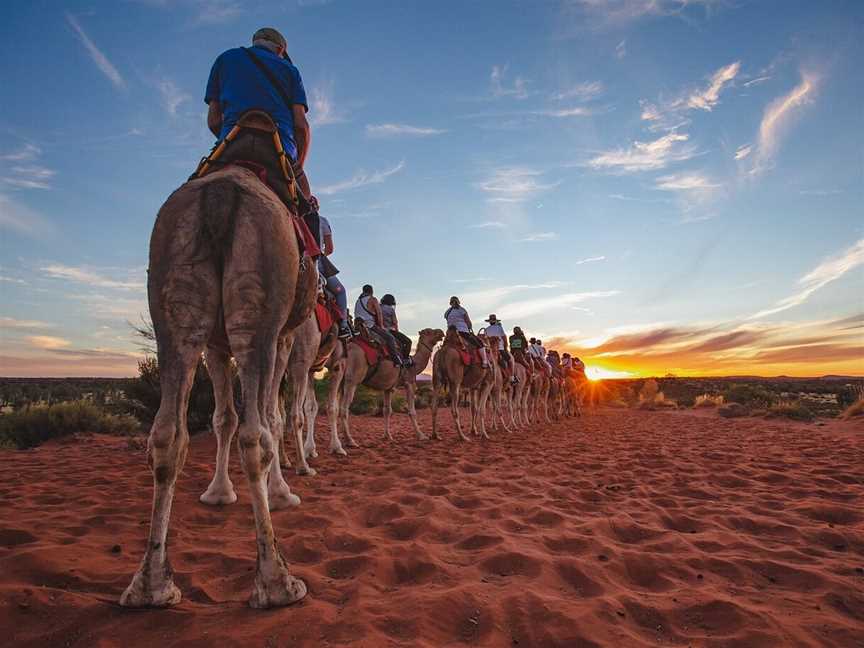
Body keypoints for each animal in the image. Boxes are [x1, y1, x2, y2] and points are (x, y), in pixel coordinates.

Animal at [120, 165, 318, 612]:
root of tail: (221, 194)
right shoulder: (282, 336)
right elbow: (272, 418)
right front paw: (282, 494)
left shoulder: (214, 343)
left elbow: (223, 417)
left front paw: (218, 493)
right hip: (259, 306)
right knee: (256, 434)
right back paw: (277, 582)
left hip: (177, 292)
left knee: (167, 435)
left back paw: (151, 585)